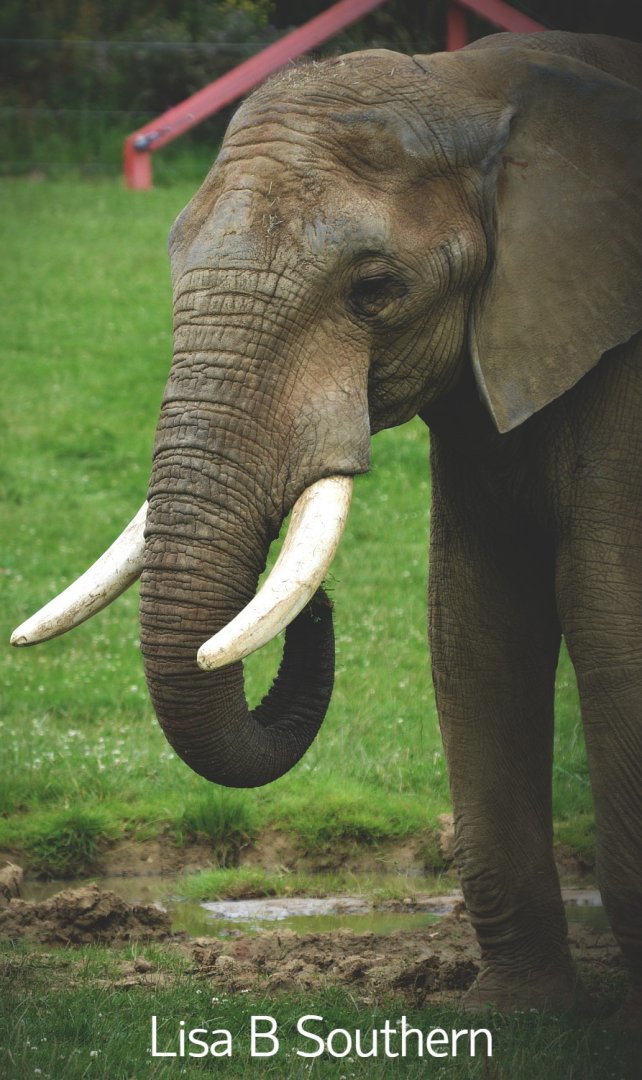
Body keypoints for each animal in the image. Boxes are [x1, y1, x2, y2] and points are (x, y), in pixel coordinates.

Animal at [12, 31, 642, 1022]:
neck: (477, 88)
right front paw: (512, 1013)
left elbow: (612, 625)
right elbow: (473, 631)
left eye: (376, 291)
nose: (317, 606)